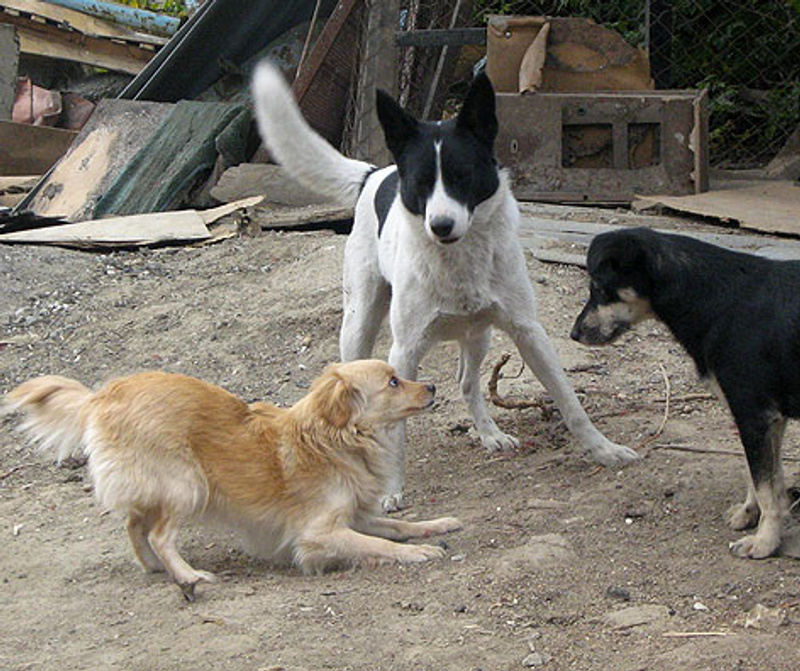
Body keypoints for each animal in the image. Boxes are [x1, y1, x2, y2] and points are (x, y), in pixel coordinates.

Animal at [4, 360, 462, 600]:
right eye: (392, 382)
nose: (432, 386)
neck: (336, 438)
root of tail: (104, 394)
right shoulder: (318, 533)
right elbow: (380, 544)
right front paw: (417, 554)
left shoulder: (357, 515)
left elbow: (399, 525)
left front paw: (436, 526)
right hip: (188, 485)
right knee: (158, 534)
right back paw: (188, 576)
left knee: (135, 525)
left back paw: (154, 568)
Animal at [251, 63, 638, 510]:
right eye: (420, 183)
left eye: (461, 176)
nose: (441, 225)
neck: (459, 260)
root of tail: (374, 173)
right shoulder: (404, 351)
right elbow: (395, 431)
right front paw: (391, 488)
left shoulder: (529, 332)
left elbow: (569, 401)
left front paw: (604, 450)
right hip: (359, 324)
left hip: (479, 334)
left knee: (467, 383)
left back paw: (489, 433)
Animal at [571, 226, 800, 559]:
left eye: (599, 288)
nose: (574, 334)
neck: (718, 301)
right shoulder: (768, 420)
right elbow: (763, 476)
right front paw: (749, 514)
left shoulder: (753, 414)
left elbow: (765, 485)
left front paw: (764, 542)